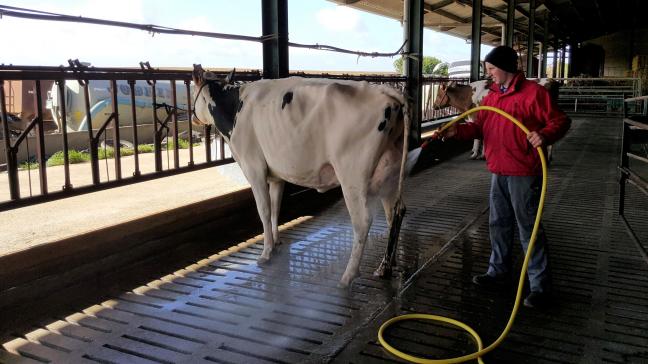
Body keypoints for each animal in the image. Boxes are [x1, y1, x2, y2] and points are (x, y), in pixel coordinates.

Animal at [192, 65, 416, 288]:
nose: (193, 118)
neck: (234, 107)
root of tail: (383, 90)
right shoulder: (276, 175)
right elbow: (276, 208)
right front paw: (276, 242)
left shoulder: (253, 167)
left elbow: (264, 210)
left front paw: (266, 252)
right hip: (390, 174)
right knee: (395, 212)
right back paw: (385, 266)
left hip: (351, 174)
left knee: (362, 221)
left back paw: (348, 276)